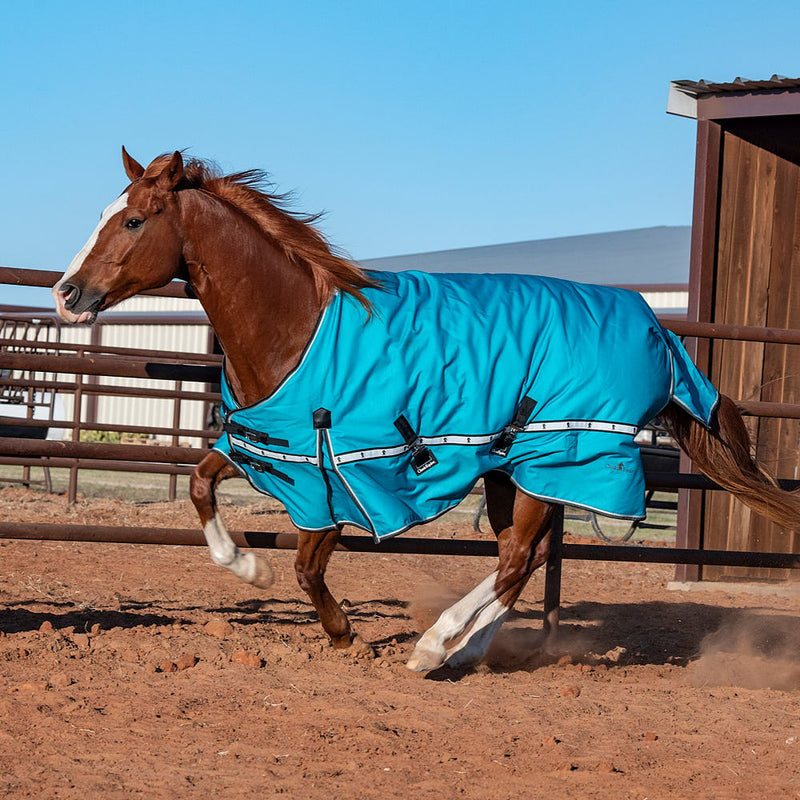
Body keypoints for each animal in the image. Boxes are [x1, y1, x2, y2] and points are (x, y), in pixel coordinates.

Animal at [52, 149, 800, 672]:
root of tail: (658, 327)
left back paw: (434, 648)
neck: (296, 325)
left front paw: (344, 633)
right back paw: (467, 651)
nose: (66, 292)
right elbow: (202, 487)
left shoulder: (340, 478)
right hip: (515, 470)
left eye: (133, 220)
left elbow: (307, 567)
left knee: (514, 562)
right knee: (523, 559)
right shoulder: (268, 451)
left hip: (555, 459)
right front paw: (248, 568)